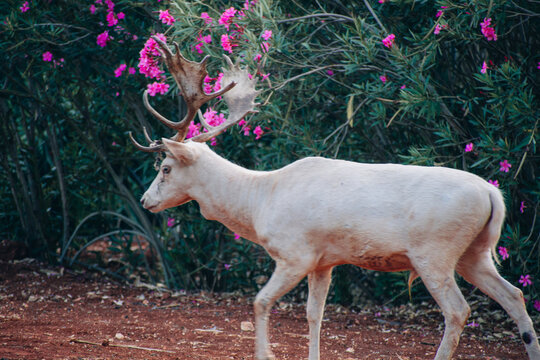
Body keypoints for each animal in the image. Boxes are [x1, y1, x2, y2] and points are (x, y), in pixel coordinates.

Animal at [131, 38, 540, 358]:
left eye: (164, 167)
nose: (145, 201)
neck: (260, 200)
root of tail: (493, 193)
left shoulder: (294, 253)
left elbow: (260, 301)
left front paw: (265, 354)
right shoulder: (323, 261)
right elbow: (315, 314)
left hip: (435, 251)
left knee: (458, 310)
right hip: (475, 251)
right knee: (514, 294)